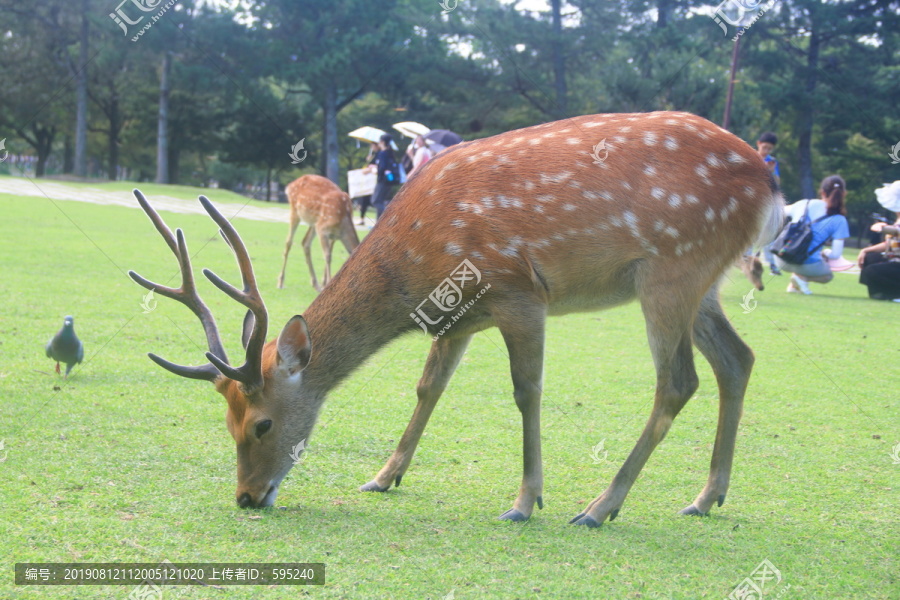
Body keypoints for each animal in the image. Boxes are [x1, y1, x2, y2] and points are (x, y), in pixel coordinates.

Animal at [130, 111, 784, 524]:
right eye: (227, 422)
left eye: (261, 424)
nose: (245, 496)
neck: (416, 262)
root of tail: (767, 183)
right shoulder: (458, 317)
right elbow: (428, 388)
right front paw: (383, 475)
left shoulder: (519, 291)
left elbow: (526, 391)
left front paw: (524, 502)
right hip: (703, 281)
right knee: (739, 359)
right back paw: (705, 497)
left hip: (671, 268)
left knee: (678, 381)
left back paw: (600, 508)